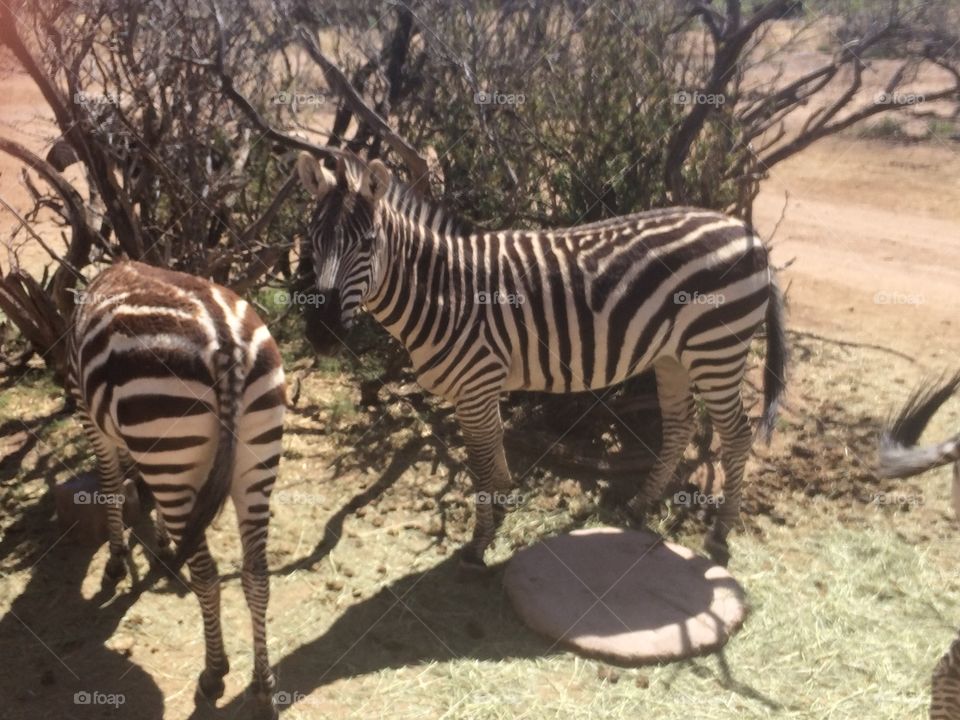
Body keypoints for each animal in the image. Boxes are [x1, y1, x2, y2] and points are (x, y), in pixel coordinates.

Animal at [68, 260, 285, 718]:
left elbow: (111, 483)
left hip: (170, 450)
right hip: (255, 459)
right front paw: (162, 542)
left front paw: (117, 561)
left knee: (205, 574)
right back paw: (263, 687)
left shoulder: (89, 414)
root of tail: (225, 341)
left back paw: (213, 674)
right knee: (256, 574)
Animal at [295, 152, 787, 568]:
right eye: (311, 239)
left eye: (367, 242)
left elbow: (479, 463)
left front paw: (478, 543)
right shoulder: (479, 386)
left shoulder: (476, 383)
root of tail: (748, 233)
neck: (443, 292)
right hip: (673, 355)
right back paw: (639, 505)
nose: (322, 333)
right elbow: (494, 448)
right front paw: (502, 508)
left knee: (736, 434)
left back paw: (719, 536)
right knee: (681, 424)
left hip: (716, 348)